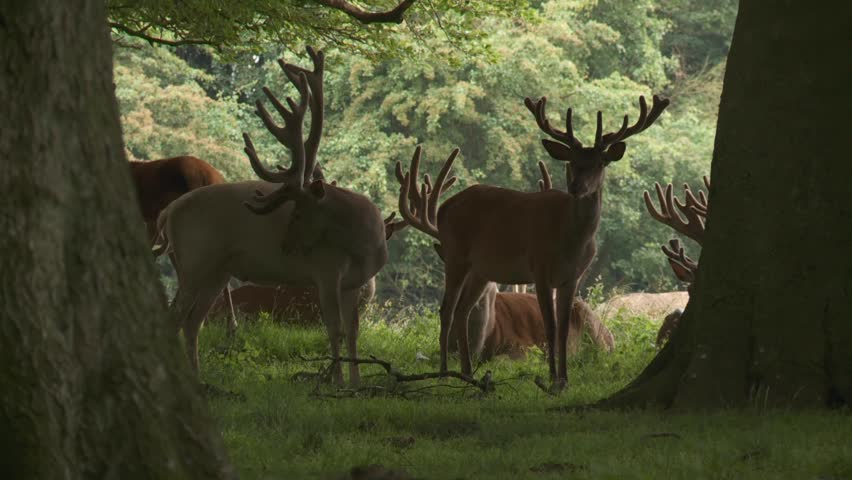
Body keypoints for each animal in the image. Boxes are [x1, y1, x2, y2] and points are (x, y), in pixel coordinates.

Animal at [157, 46, 389, 387]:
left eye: (299, 212)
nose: (286, 246)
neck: (365, 245)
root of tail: (167, 212)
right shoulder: (326, 269)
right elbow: (334, 329)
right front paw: (337, 381)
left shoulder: (353, 283)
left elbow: (353, 333)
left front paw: (357, 382)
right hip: (194, 259)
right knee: (175, 318)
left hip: (216, 270)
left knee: (192, 321)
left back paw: (198, 378)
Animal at [396, 94, 669, 391]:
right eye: (571, 162)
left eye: (600, 163)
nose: (575, 187)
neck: (571, 241)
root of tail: (444, 208)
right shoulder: (539, 268)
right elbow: (550, 326)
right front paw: (551, 379)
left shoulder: (572, 277)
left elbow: (563, 328)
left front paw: (565, 379)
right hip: (455, 254)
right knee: (446, 309)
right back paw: (445, 373)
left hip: (480, 270)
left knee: (462, 311)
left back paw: (467, 373)